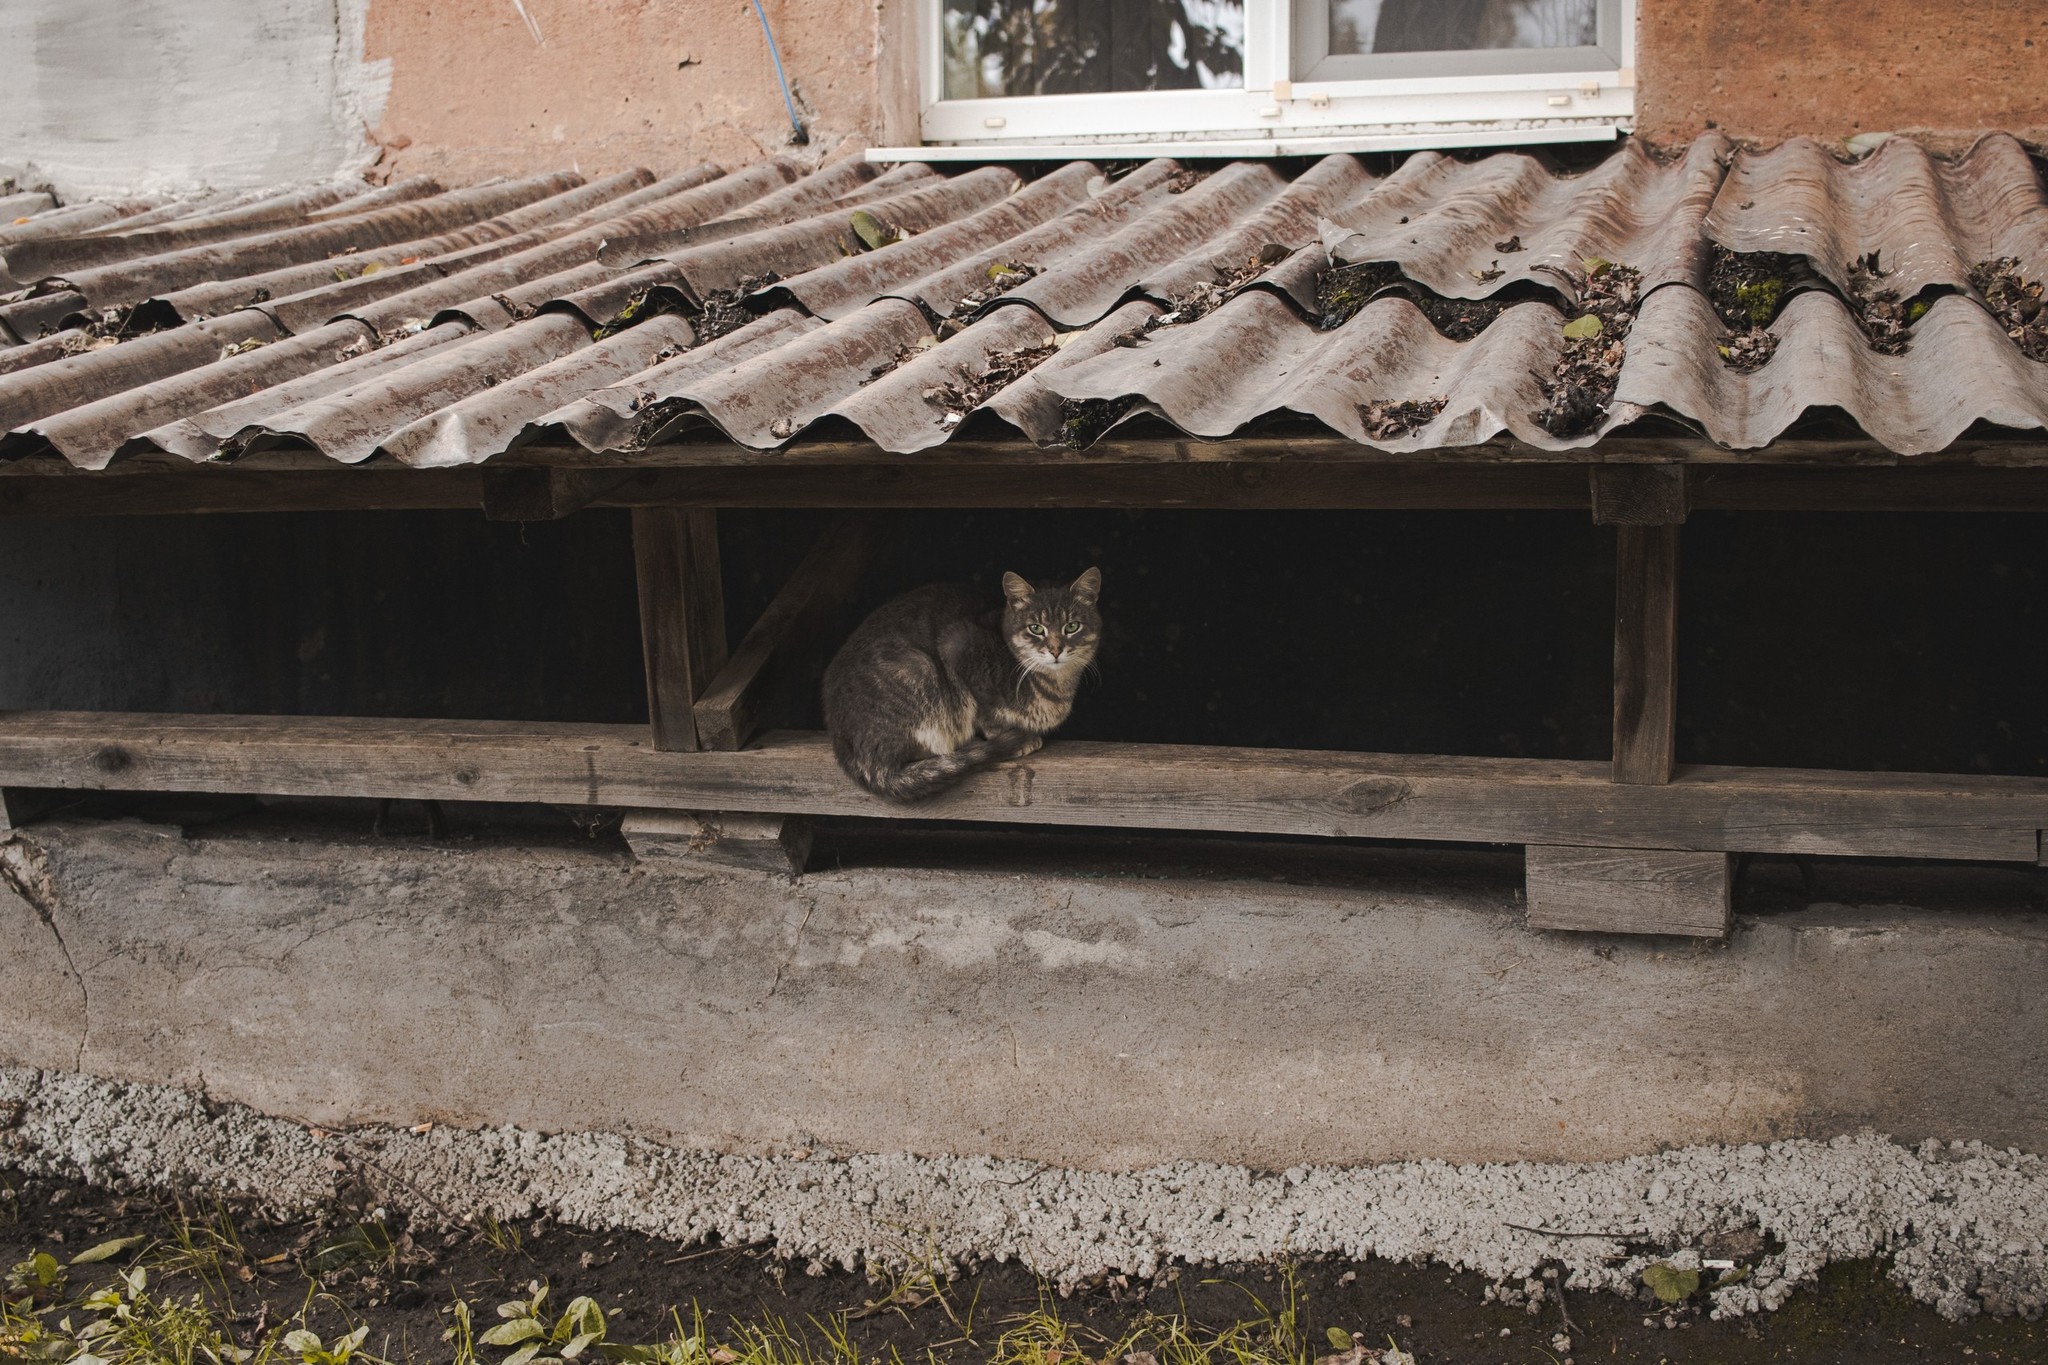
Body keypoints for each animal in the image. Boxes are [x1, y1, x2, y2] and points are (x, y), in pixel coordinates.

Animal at [819, 564, 1105, 802]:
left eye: (1072, 626)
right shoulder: (958, 645)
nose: (1056, 650)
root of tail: (843, 744)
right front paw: (1009, 736)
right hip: (920, 669)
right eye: (1036, 628)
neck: (1056, 687)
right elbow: (985, 712)